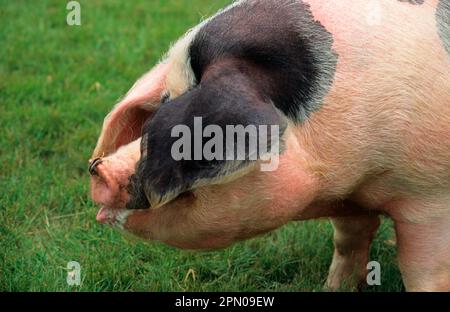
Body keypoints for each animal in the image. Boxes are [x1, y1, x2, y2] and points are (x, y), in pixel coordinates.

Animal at [89, 0, 450, 292]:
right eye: (163, 101)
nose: (99, 169)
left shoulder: (429, 198)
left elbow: (423, 270)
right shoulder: (350, 198)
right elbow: (349, 238)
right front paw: (334, 288)